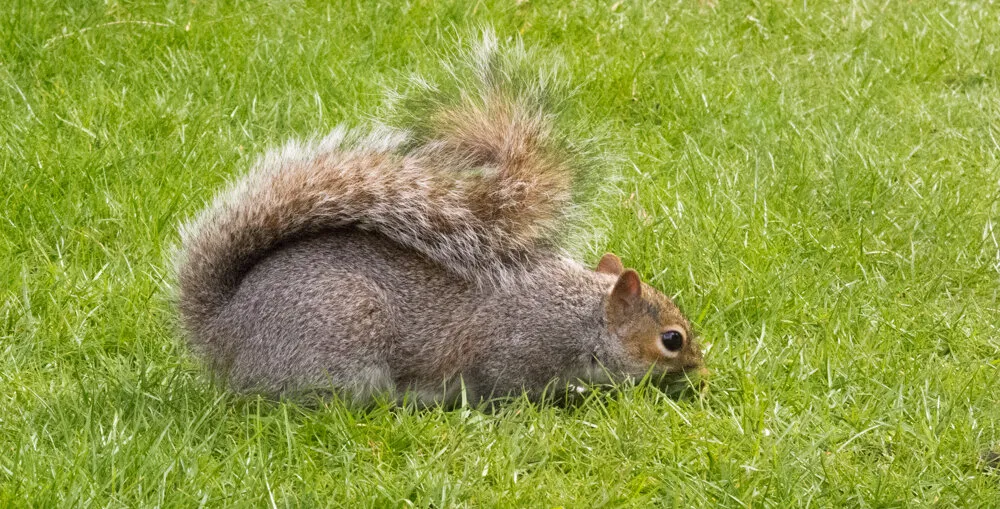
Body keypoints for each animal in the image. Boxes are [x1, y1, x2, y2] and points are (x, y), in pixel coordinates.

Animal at [174, 32, 706, 405]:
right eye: (671, 340)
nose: (700, 370)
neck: (581, 315)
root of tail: (224, 333)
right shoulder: (514, 352)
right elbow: (506, 387)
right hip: (334, 349)